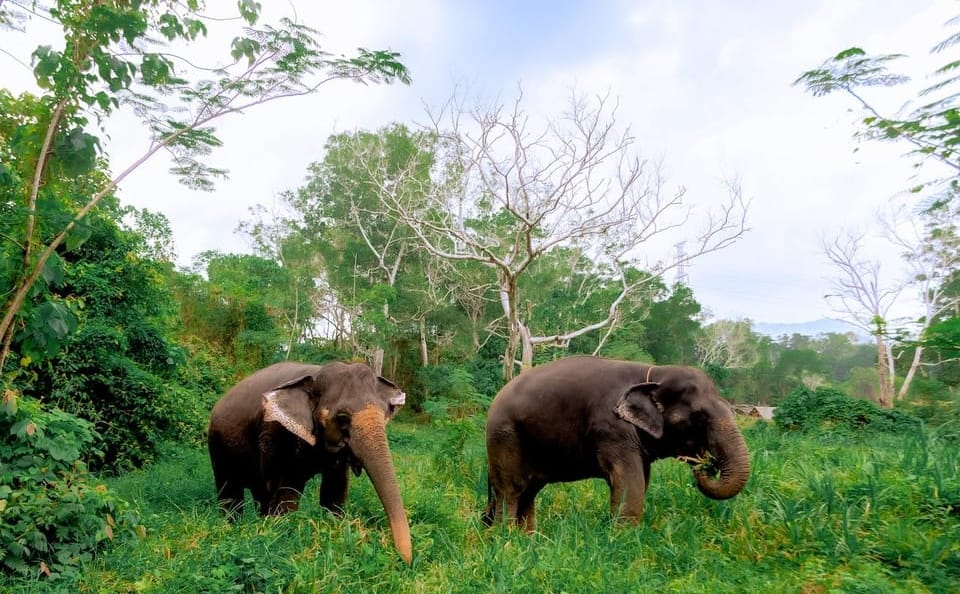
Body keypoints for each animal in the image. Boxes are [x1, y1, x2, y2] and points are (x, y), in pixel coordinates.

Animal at [207, 361, 412, 564]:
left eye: (384, 413)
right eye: (342, 419)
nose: (404, 561)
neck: (316, 372)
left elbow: (335, 489)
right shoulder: (275, 433)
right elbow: (286, 491)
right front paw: (282, 533)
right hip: (218, 448)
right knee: (231, 494)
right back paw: (232, 526)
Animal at [483, 356, 750, 531]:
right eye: (698, 417)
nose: (707, 464)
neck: (654, 373)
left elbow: (642, 480)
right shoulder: (612, 428)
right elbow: (629, 481)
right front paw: (623, 540)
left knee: (529, 491)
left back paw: (528, 538)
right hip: (504, 437)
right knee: (512, 490)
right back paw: (506, 539)